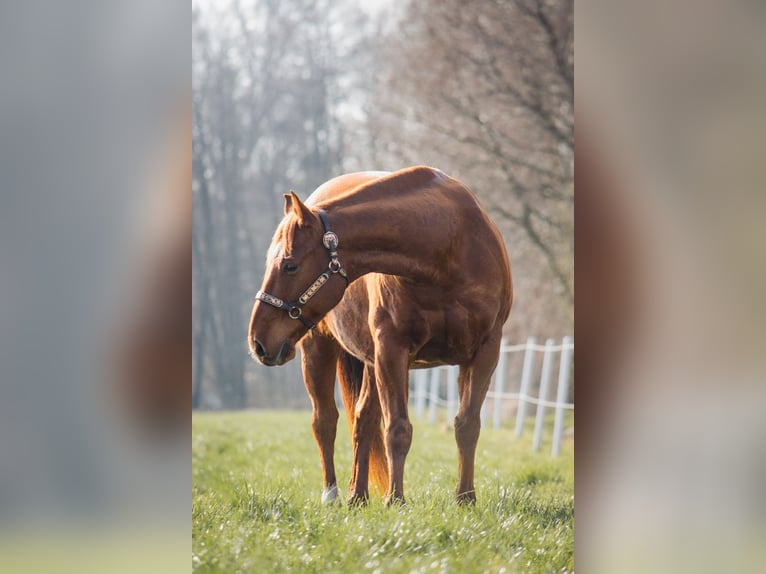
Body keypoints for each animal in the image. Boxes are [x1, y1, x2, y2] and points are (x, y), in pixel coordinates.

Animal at [249, 164, 512, 506]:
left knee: (363, 421)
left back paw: (357, 496)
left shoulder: (484, 352)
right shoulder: (392, 350)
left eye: (290, 265)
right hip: (319, 349)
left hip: (372, 365)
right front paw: (395, 500)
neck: (449, 245)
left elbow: (467, 425)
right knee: (325, 421)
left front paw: (465, 498)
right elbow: (397, 429)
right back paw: (333, 494)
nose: (258, 341)